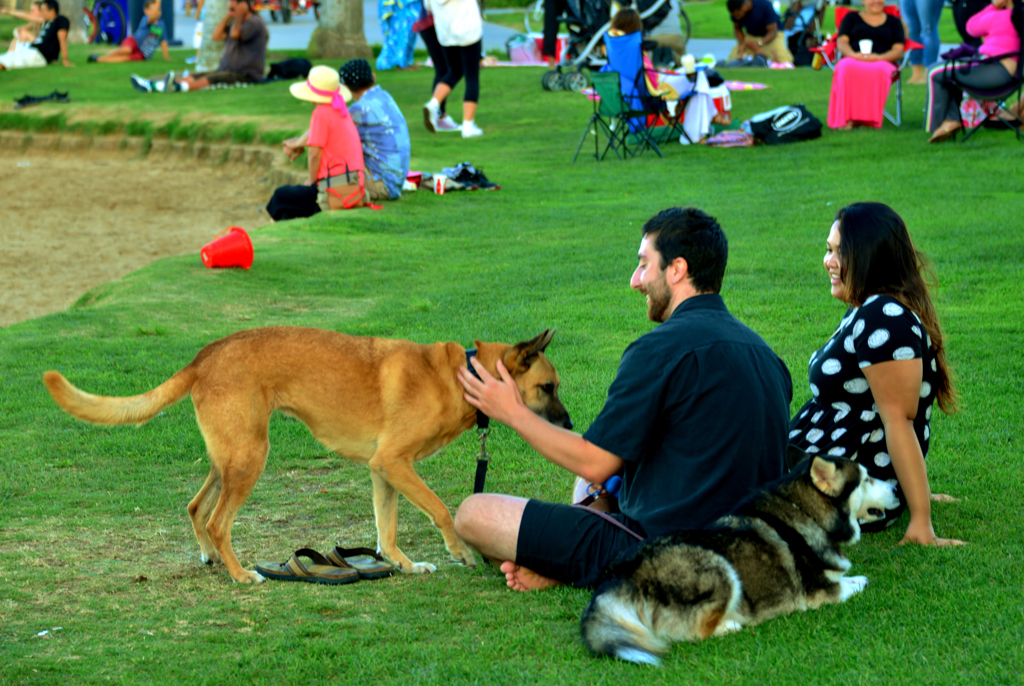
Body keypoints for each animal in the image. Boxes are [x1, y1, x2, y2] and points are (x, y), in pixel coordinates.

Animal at [44, 329, 573, 585]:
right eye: (547, 388)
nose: (569, 428)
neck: (461, 376)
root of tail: (204, 356)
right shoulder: (397, 464)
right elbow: (442, 510)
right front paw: (460, 552)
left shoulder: (384, 471)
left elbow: (386, 530)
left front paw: (403, 566)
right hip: (250, 459)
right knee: (218, 520)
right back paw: (241, 574)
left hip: (228, 457)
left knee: (196, 508)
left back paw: (211, 557)